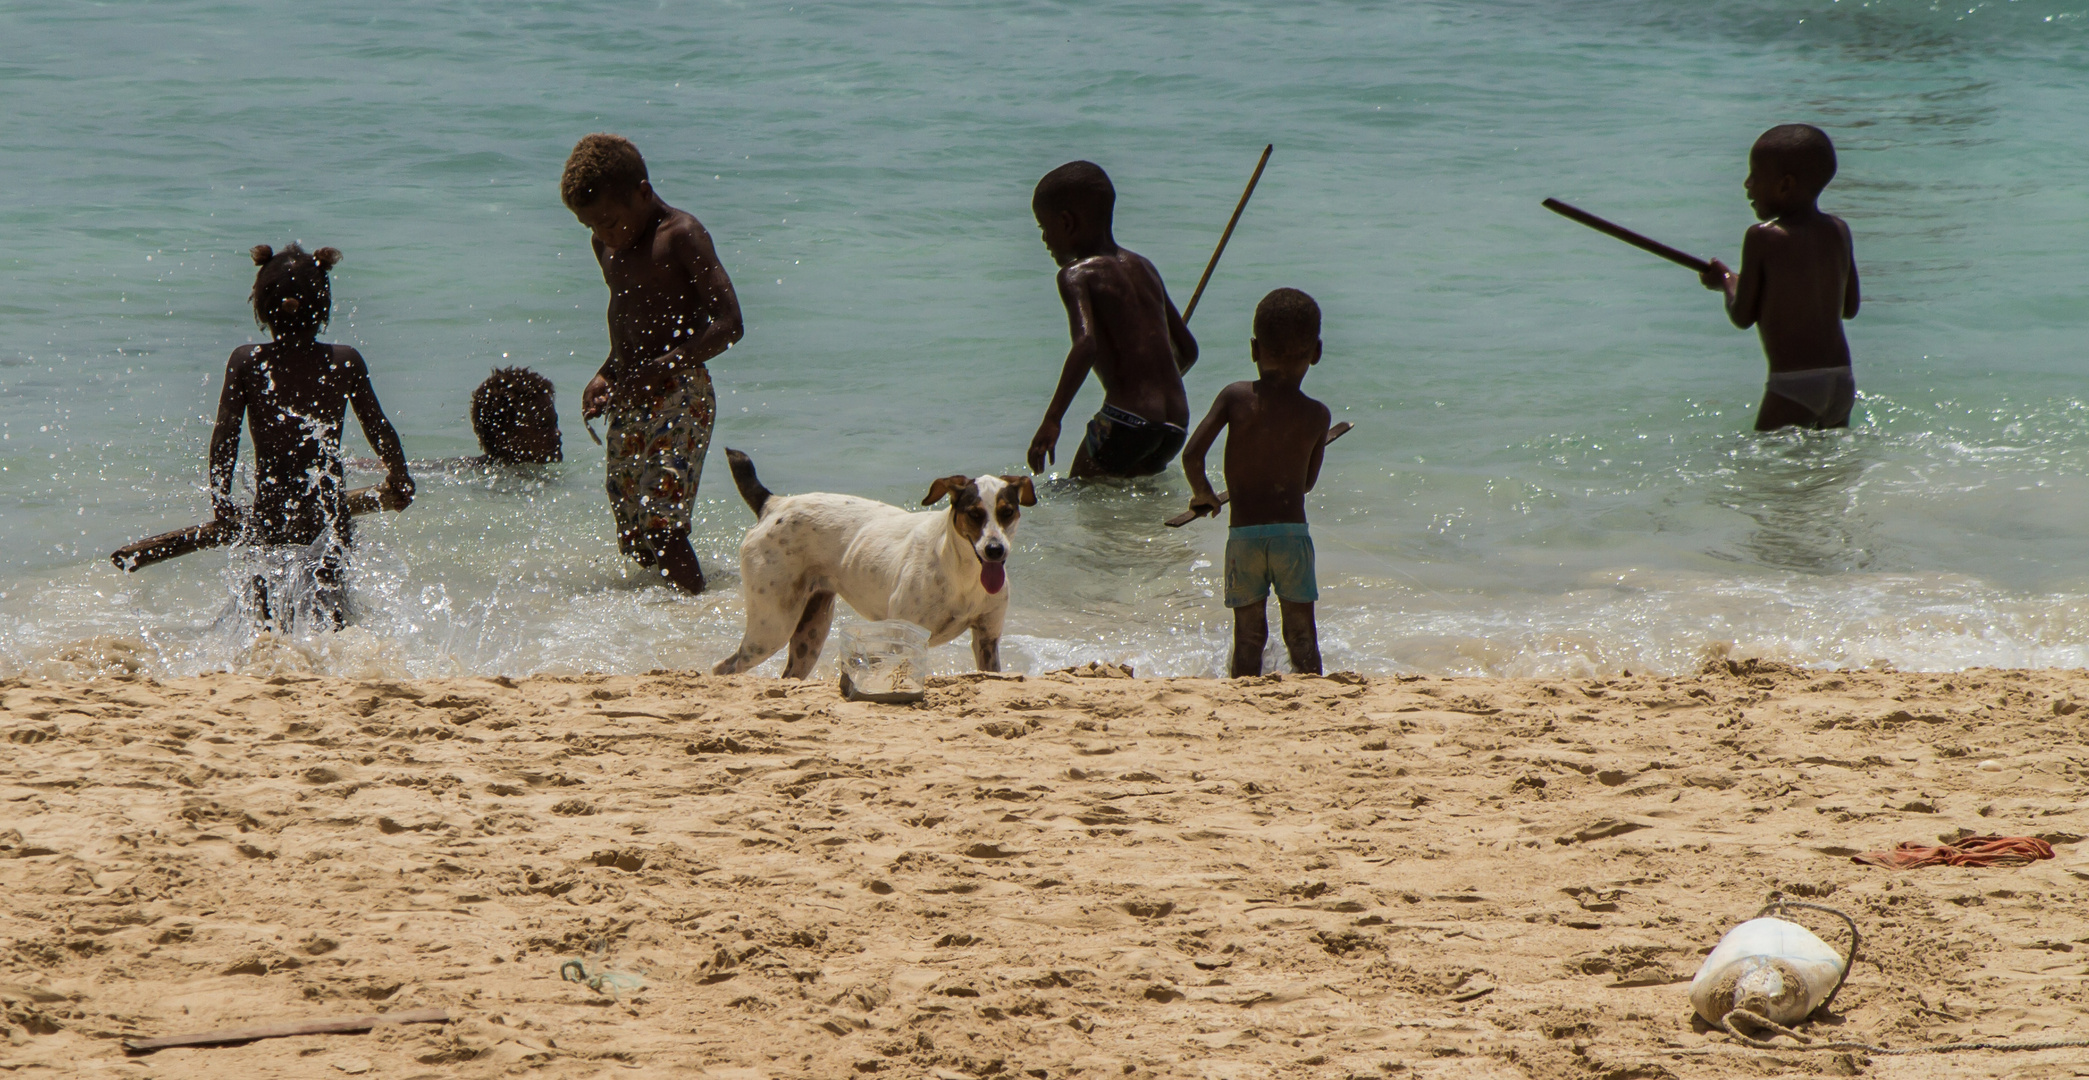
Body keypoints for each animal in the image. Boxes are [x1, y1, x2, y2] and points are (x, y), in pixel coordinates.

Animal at [718, 447, 1036, 672]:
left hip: (810, 635)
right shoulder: (903, 641)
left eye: (1007, 512)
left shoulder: (987, 638)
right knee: (724, 667)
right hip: (771, 630)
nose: (995, 550)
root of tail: (773, 504)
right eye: (974, 514)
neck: (962, 575)